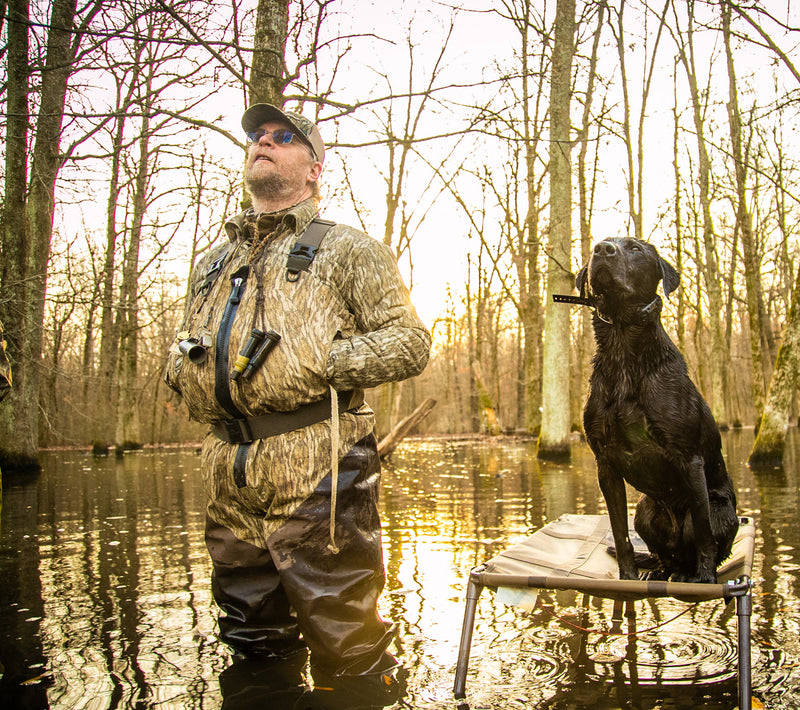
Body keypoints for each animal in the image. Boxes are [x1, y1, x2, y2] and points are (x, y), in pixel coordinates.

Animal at [576, 239, 736, 584]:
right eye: (598, 245)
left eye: (635, 248)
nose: (602, 249)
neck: (623, 346)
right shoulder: (605, 463)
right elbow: (619, 532)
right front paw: (627, 576)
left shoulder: (689, 459)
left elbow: (703, 533)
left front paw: (705, 580)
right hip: (645, 512)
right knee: (664, 555)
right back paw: (659, 572)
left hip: (721, 510)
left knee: (700, 541)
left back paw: (689, 574)